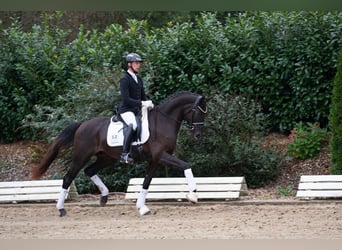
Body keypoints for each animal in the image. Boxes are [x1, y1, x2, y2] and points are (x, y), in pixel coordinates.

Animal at [32, 91, 207, 216]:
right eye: (198, 112)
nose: (198, 135)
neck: (163, 122)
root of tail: (82, 125)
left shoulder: (155, 160)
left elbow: (146, 182)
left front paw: (142, 207)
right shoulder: (161, 156)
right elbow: (186, 165)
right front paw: (193, 195)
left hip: (107, 157)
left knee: (89, 170)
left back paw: (104, 196)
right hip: (81, 155)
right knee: (69, 177)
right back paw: (61, 209)